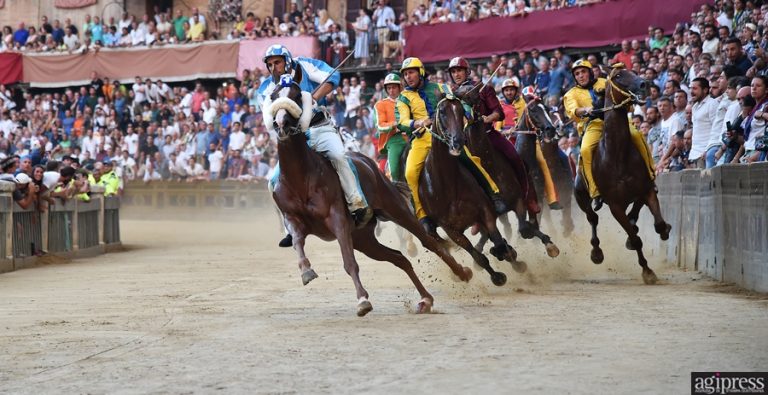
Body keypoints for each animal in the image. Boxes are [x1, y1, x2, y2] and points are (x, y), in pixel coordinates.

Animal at [270, 76, 474, 316]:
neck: (301, 177)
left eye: (295, 95)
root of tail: (370, 163)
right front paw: (306, 271)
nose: (281, 124)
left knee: (430, 243)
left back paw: (462, 273)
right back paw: (426, 299)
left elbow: (349, 262)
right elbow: (297, 241)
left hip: (396, 210)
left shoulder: (337, 218)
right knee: (399, 258)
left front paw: (362, 300)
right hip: (363, 238)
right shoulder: (293, 219)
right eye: (273, 96)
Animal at [416, 94, 524, 286]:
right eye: (442, 112)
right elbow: (478, 256)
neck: (449, 186)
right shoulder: (451, 229)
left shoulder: (485, 211)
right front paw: (497, 276)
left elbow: (499, 242)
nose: (458, 141)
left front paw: (511, 257)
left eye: (461, 111)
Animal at [576, 68, 672, 284]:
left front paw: (663, 231)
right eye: (619, 76)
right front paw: (647, 271)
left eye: (633, 71)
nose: (645, 84)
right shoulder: (615, 205)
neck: (618, 154)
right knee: (592, 217)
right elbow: (636, 240)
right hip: (580, 196)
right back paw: (596, 253)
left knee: (634, 214)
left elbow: (658, 224)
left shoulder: (646, 191)